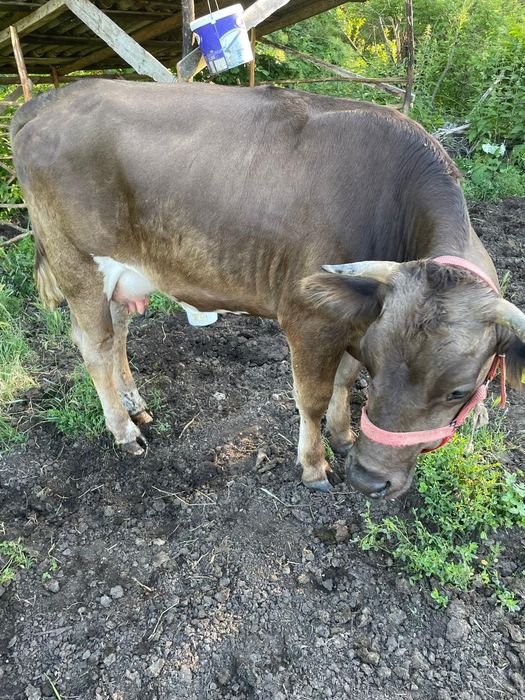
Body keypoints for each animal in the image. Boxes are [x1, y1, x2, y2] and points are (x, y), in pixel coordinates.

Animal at [10, 80, 525, 499]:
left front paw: (343, 436)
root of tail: (46, 101)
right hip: (78, 263)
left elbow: (342, 379)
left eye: (460, 391)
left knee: (117, 332)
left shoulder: (357, 316)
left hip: (122, 275)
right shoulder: (310, 315)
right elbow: (312, 397)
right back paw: (124, 431)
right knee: (94, 346)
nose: (368, 480)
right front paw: (315, 465)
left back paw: (136, 406)